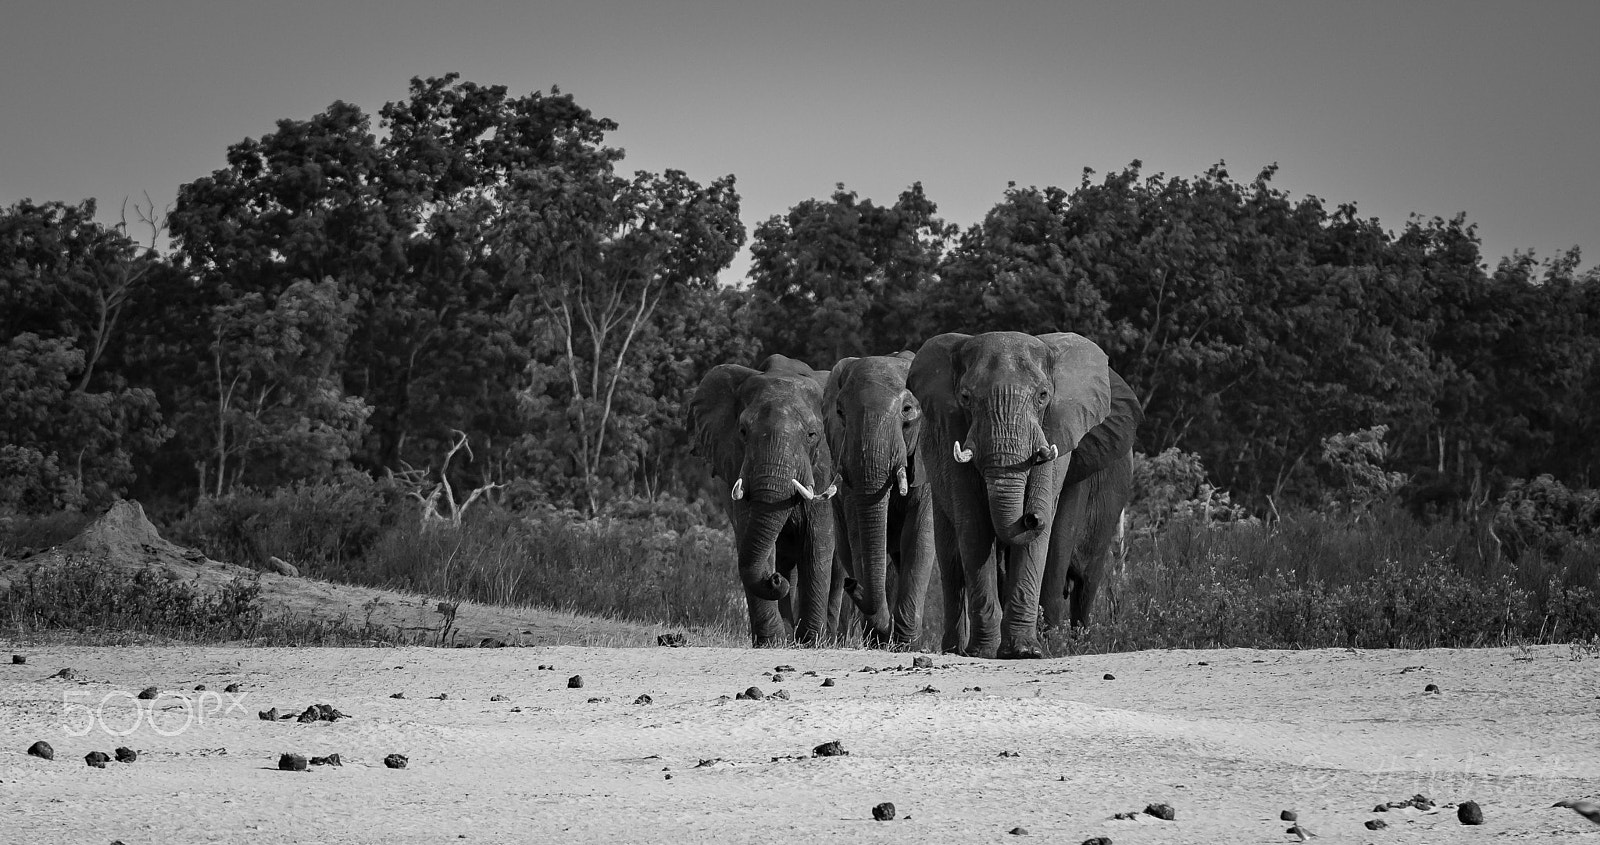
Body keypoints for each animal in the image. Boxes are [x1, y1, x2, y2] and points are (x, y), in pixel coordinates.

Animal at [688, 353, 838, 643]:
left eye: (812, 435)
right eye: (743, 431)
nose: (774, 579)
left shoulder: (824, 467)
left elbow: (818, 542)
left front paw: (811, 641)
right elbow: (755, 539)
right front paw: (773, 641)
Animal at [825, 352, 934, 646]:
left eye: (907, 410)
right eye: (840, 413)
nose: (851, 584)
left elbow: (919, 538)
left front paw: (905, 643)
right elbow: (859, 540)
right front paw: (882, 637)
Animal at [908, 329, 1145, 659]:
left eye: (1043, 395)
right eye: (965, 398)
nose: (1030, 517)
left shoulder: (1058, 433)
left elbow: (1048, 538)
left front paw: (1025, 651)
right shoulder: (953, 434)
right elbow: (975, 526)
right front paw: (985, 651)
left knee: (1087, 577)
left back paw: (1076, 644)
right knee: (953, 566)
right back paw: (955, 650)